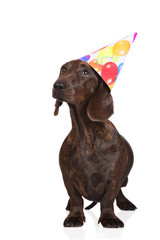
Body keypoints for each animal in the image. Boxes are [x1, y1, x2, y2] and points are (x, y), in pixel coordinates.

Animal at [52, 59, 136, 228]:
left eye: (85, 72)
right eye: (63, 69)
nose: (57, 85)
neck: (85, 136)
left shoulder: (113, 180)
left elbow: (108, 200)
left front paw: (109, 218)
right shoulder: (68, 178)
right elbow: (76, 199)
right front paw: (75, 216)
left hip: (125, 178)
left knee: (120, 192)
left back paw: (125, 202)